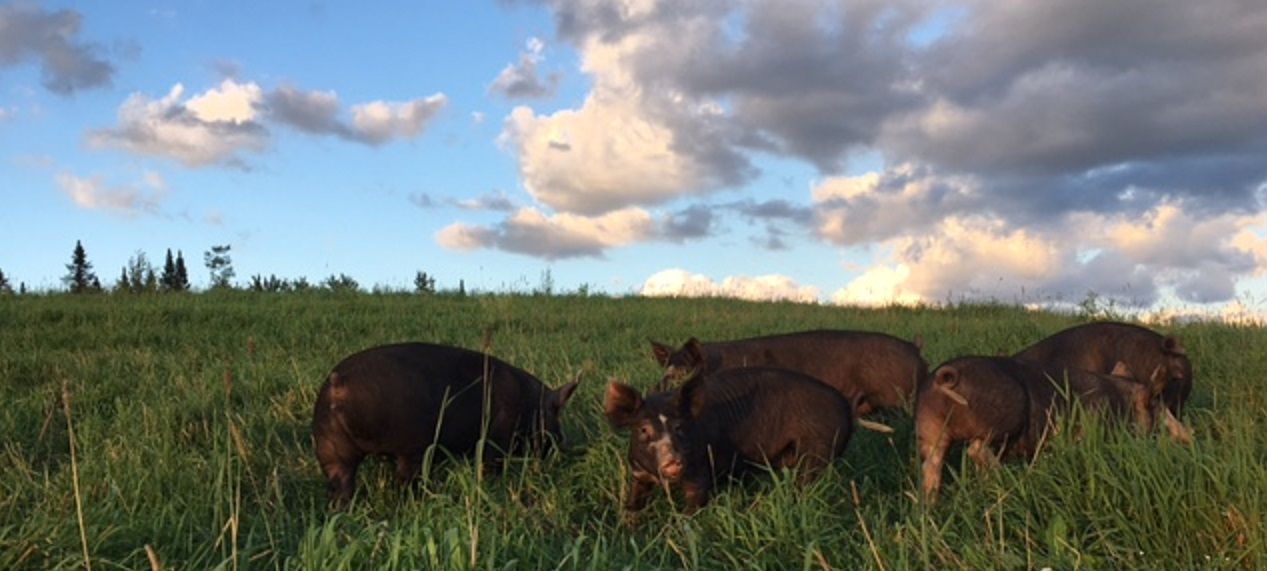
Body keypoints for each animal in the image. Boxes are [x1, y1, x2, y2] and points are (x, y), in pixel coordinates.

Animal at [312, 342, 579, 504]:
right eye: (556, 413)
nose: (565, 445)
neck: (530, 403)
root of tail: (339, 383)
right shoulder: (496, 440)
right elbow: (490, 466)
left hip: (329, 446)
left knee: (340, 484)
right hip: (412, 447)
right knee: (406, 480)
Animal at [604, 367, 854, 513]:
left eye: (680, 427)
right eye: (643, 429)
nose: (673, 460)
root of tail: (845, 405)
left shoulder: (700, 470)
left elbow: (692, 507)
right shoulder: (639, 473)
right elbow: (633, 504)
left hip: (819, 448)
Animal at [916, 356, 1192, 501]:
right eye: (1159, 406)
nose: (1190, 437)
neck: (1120, 398)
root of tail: (948, 375)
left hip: (930, 429)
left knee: (931, 464)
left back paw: (929, 503)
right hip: (1004, 416)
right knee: (976, 449)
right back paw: (1009, 480)